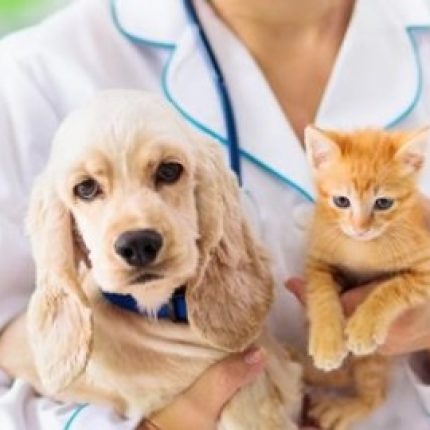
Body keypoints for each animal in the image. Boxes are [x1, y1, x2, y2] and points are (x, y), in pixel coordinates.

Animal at [302, 126, 430, 428]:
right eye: (341, 201)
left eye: (383, 203)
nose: (360, 228)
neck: (362, 248)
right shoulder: (318, 261)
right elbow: (320, 292)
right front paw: (327, 341)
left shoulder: (426, 268)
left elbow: (392, 287)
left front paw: (364, 326)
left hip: (374, 360)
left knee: (376, 395)